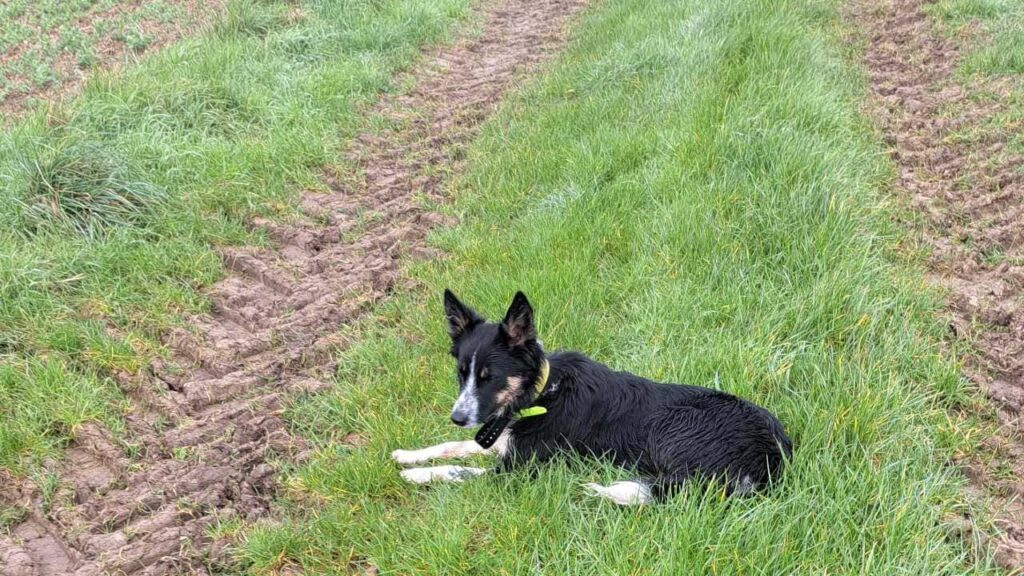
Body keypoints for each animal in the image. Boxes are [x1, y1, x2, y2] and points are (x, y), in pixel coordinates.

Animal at [391, 289, 790, 500]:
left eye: (490, 378)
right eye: (461, 373)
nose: (457, 417)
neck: (541, 395)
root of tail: (775, 456)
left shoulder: (518, 470)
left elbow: (457, 469)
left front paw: (418, 476)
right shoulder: (505, 440)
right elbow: (451, 447)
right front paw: (408, 455)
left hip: (674, 430)